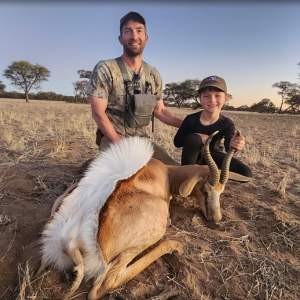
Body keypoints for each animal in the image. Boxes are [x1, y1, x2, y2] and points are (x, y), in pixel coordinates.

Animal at [37, 132, 251, 300]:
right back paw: (176, 246)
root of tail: (70, 239)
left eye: (221, 191)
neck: (165, 173)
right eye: (205, 191)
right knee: (103, 286)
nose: (216, 218)